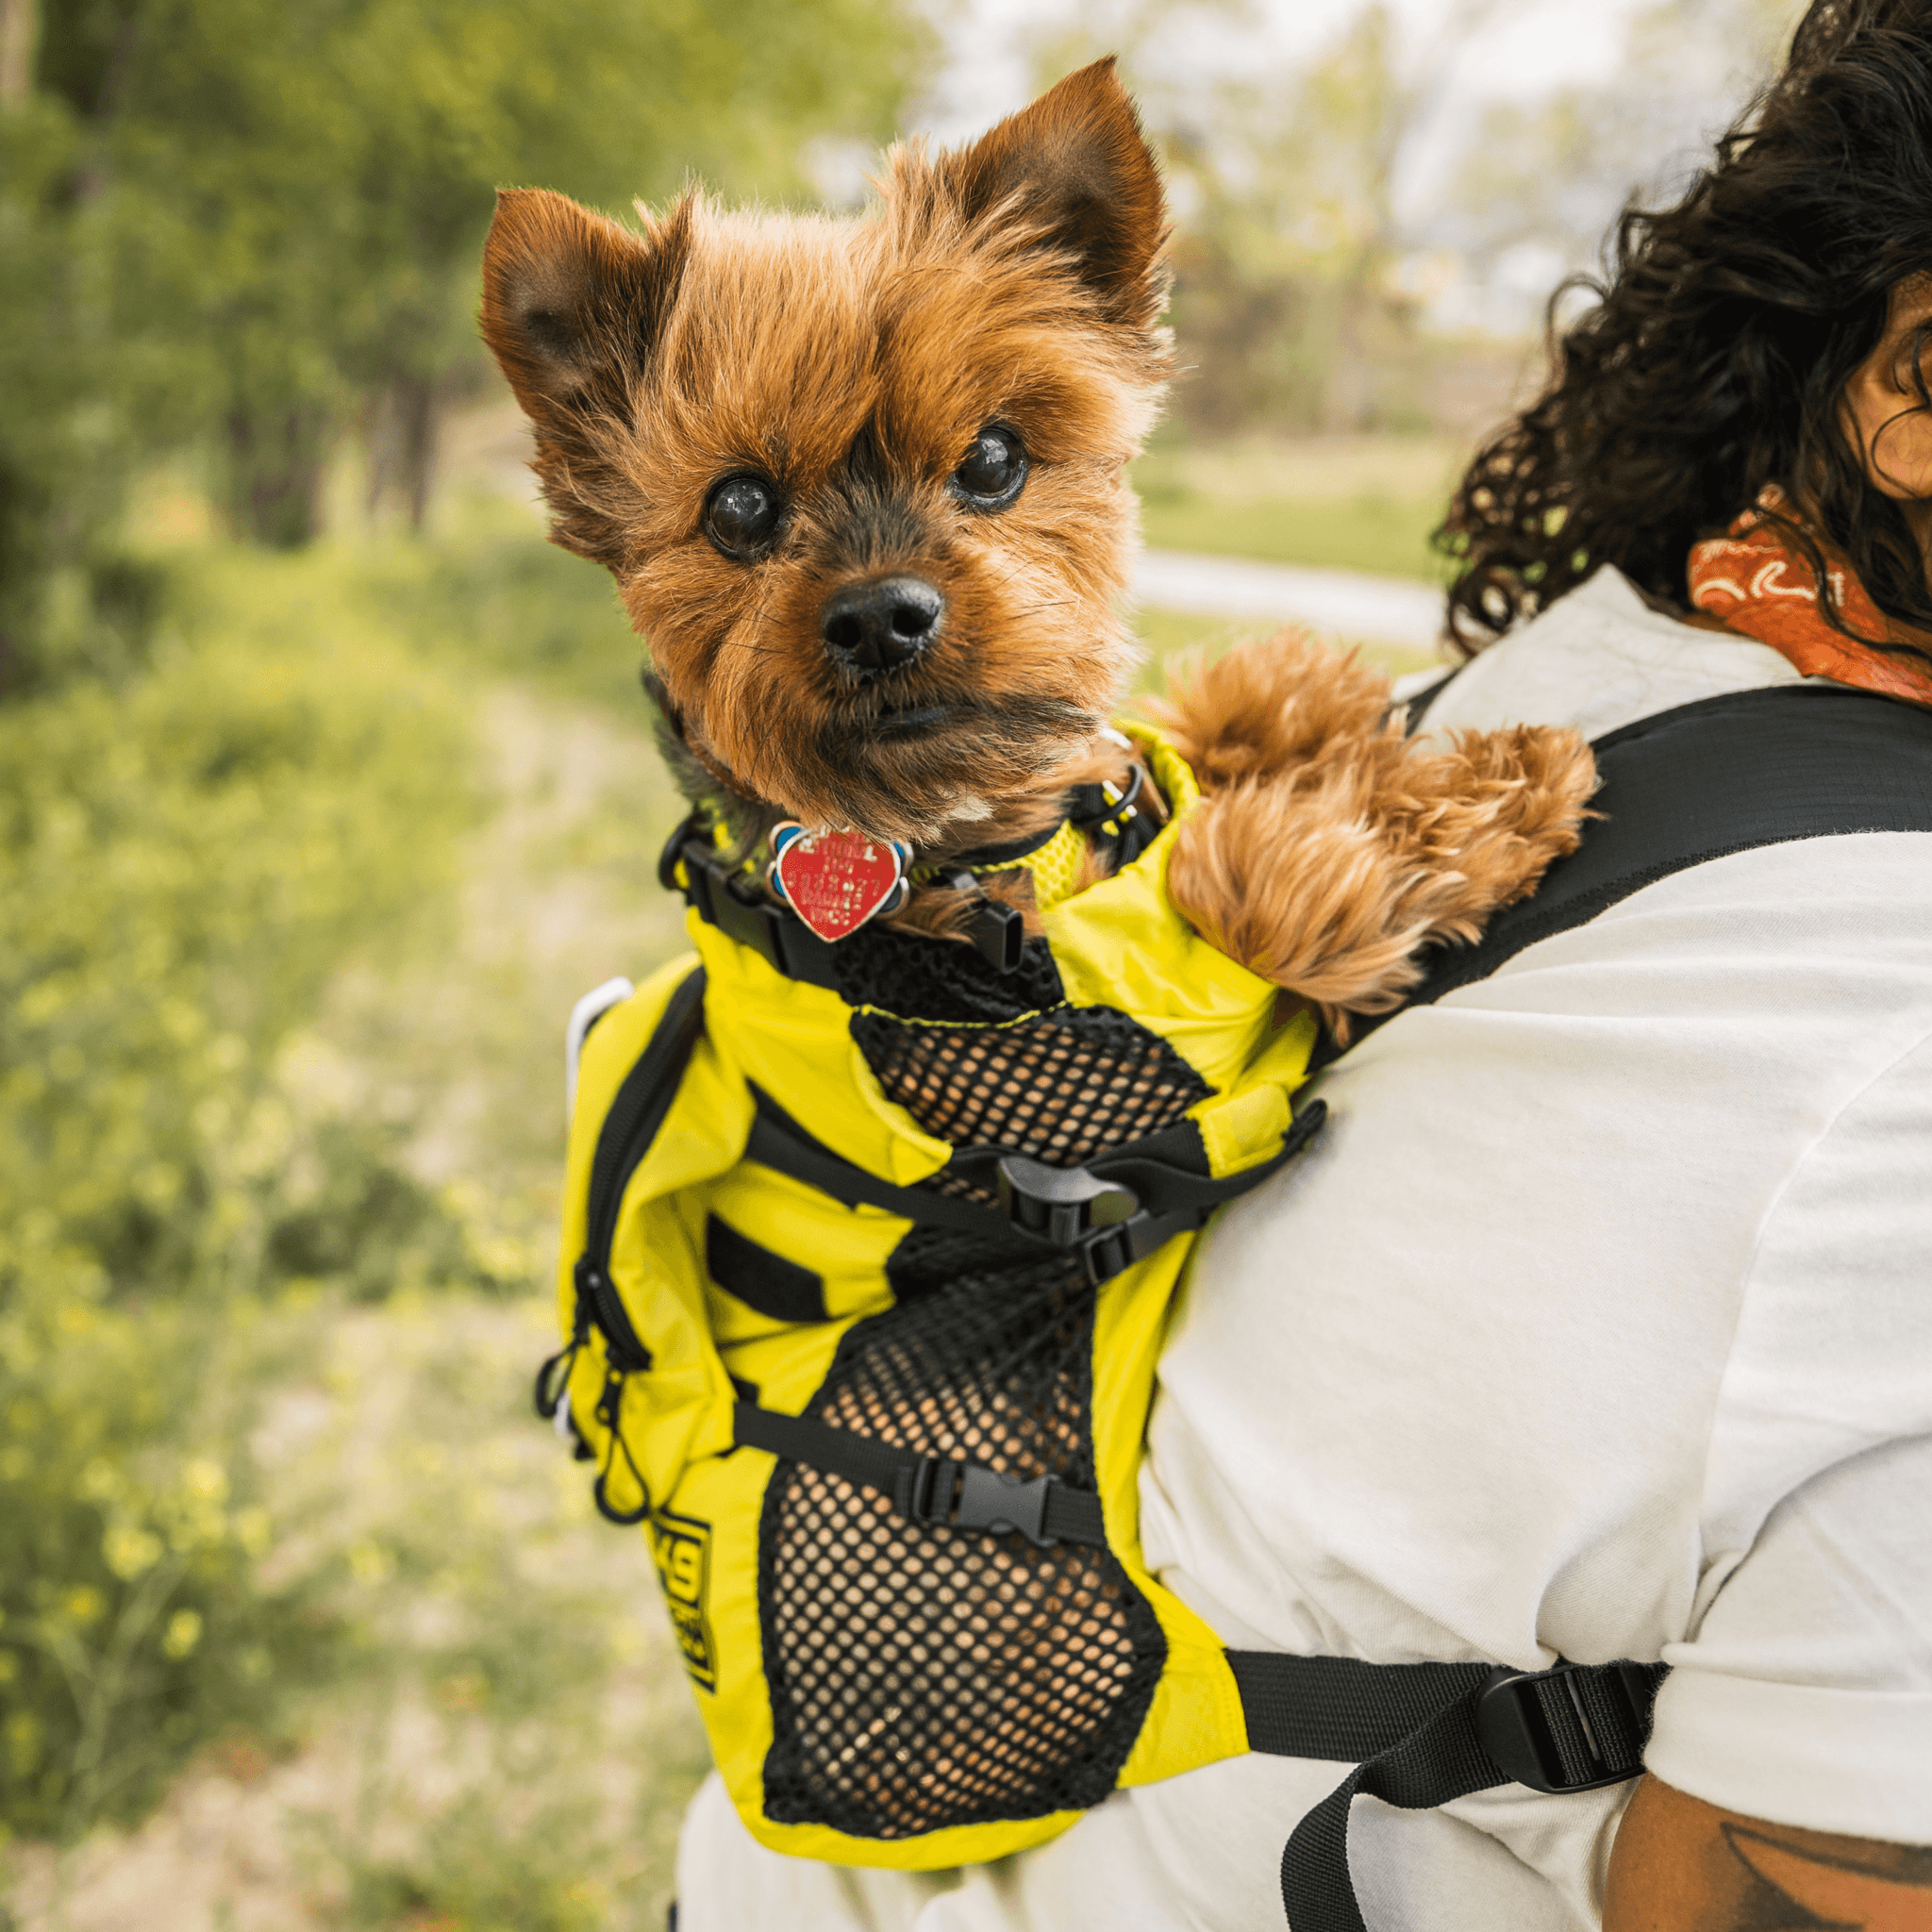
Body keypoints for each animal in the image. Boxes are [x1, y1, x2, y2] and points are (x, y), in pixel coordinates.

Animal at [478, 60, 1584, 1058]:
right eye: (739, 508)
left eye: (993, 459)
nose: (879, 618)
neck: (982, 842)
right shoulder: (1235, 957)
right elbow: (1272, 881)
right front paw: (1498, 781)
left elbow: (1191, 738)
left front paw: (1289, 691)